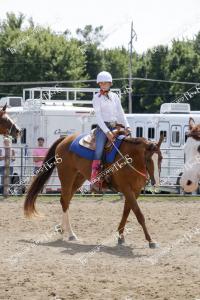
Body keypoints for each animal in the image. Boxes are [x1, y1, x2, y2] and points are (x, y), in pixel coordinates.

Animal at [24, 125, 163, 247]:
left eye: (161, 158)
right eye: (148, 159)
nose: (156, 182)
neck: (129, 159)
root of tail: (64, 139)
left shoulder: (135, 191)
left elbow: (126, 213)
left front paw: (121, 237)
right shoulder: (127, 189)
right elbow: (139, 214)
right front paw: (151, 241)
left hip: (78, 178)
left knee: (66, 200)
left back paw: (62, 229)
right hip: (67, 177)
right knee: (64, 201)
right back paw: (71, 233)